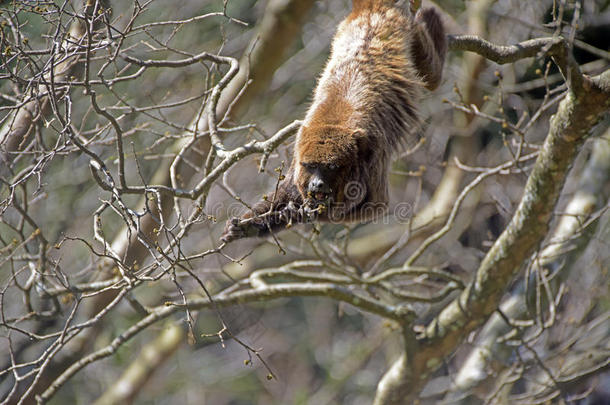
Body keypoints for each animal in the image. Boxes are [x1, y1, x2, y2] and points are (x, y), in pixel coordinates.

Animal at [221, 0, 444, 243]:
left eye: (331, 167)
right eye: (310, 166)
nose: (317, 183)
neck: (332, 125)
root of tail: (372, 13)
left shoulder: (373, 150)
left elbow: (377, 204)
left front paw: (299, 215)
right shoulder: (300, 145)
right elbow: (288, 190)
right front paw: (249, 226)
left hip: (409, 32)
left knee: (432, 74)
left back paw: (432, 19)